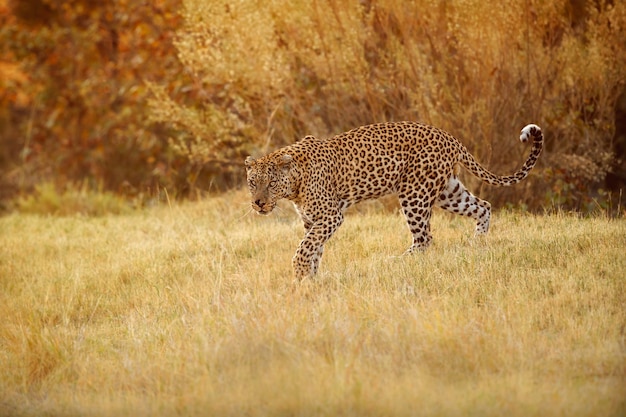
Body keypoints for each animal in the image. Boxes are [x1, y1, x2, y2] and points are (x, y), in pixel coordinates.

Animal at [244, 122, 540, 282]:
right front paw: (310, 278)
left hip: (414, 193)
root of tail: (449, 137)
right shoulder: (312, 221)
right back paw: (476, 244)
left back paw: (395, 262)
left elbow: (305, 247)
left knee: (425, 238)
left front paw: (299, 273)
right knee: (483, 207)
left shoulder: (330, 216)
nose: (258, 203)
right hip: (447, 191)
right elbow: (314, 248)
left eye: (271, 183)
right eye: (252, 182)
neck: (295, 184)